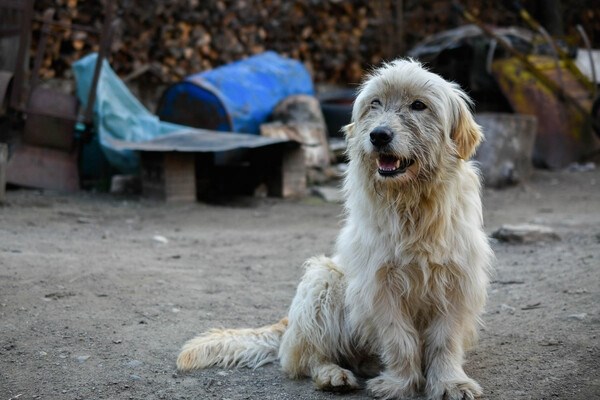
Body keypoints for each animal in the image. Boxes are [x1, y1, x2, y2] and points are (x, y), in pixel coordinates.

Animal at [177, 60, 492, 400]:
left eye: (419, 105)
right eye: (375, 103)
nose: (379, 135)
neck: (412, 206)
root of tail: (288, 324)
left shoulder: (456, 283)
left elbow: (445, 340)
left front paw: (449, 382)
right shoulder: (380, 286)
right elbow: (399, 339)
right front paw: (399, 383)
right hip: (324, 281)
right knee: (311, 357)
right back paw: (332, 375)